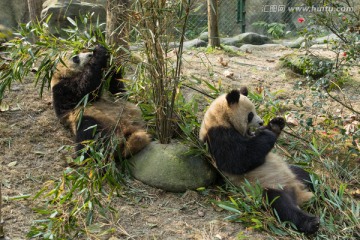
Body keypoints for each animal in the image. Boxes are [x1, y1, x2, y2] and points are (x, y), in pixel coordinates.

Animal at [200, 87, 320, 234]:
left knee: (305, 175)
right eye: (250, 115)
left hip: (293, 174)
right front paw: (268, 133)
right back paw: (312, 223)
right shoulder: (217, 136)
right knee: (281, 205)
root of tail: (300, 193)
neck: (219, 118)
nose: (261, 122)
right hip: (265, 187)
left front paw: (276, 124)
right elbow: (238, 159)